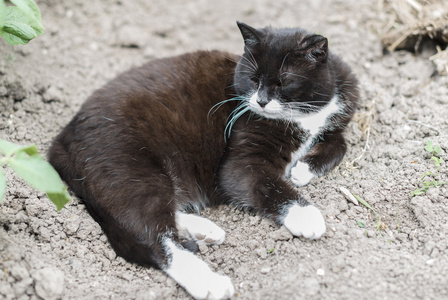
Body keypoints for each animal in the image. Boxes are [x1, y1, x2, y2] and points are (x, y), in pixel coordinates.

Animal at [47, 22, 358, 298]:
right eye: (253, 79)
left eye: (284, 81)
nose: (260, 102)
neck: (307, 114)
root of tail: (60, 141)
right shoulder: (241, 160)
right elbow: (267, 184)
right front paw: (305, 214)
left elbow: (340, 142)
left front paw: (303, 169)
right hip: (131, 170)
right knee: (153, 237)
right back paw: (209, 282)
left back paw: (205, 230)